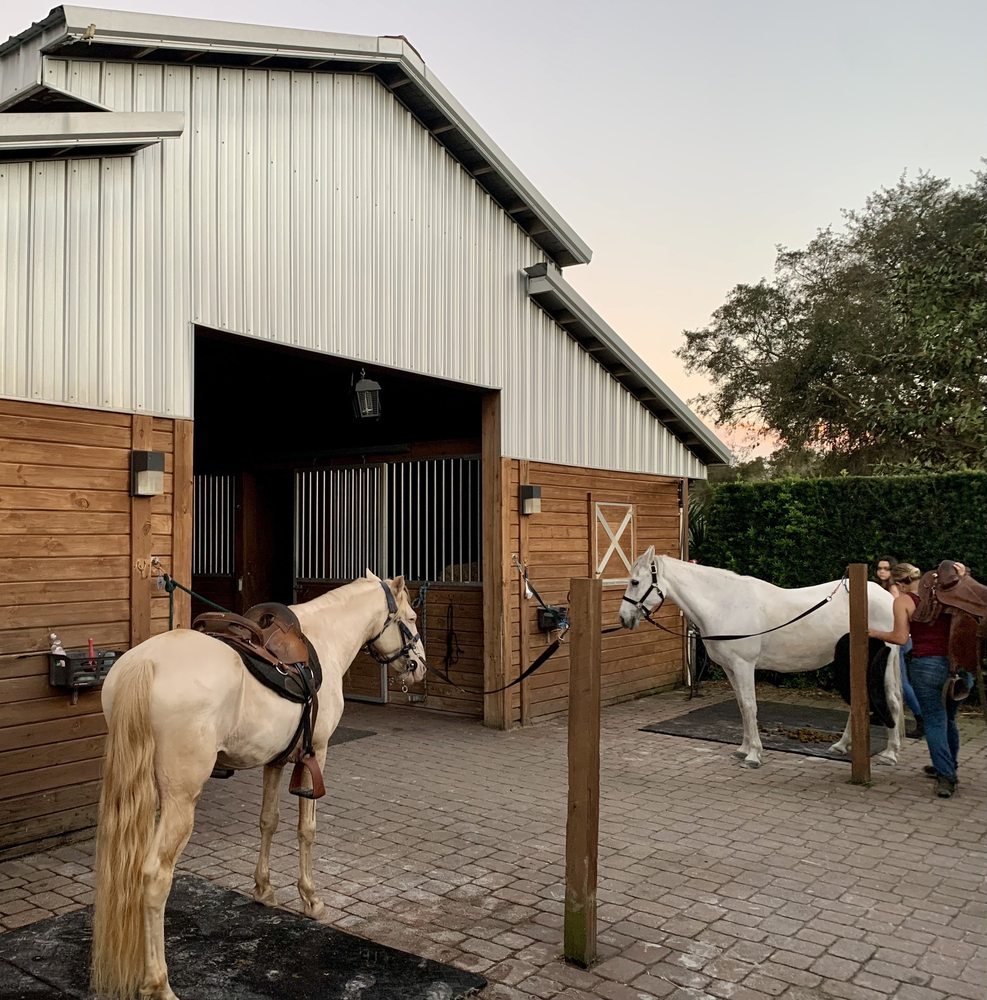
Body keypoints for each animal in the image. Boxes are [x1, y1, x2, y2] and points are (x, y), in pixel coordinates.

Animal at [90, 572, 426, 1000]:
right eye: (411, 618)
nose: (419, 668)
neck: (326, 636)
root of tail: (145, 664)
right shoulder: (317, 753)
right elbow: (306, 829)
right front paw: (311, 899)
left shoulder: (275, 761)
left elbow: (268, 821)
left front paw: (264, 889)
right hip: (179, 801)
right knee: (154, 877)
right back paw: (158, 983)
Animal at [619, 547, 904, 769]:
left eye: (635, 582)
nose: (623, 618)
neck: (725, 604)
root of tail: (886, 596)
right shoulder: (730, 668)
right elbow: (741, 706)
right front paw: (743, 749)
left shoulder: (744, 665)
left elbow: (750, 706)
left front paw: (754, 755)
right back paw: (842, 745)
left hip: (881, 661)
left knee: (890, 700)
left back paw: (890, 754)